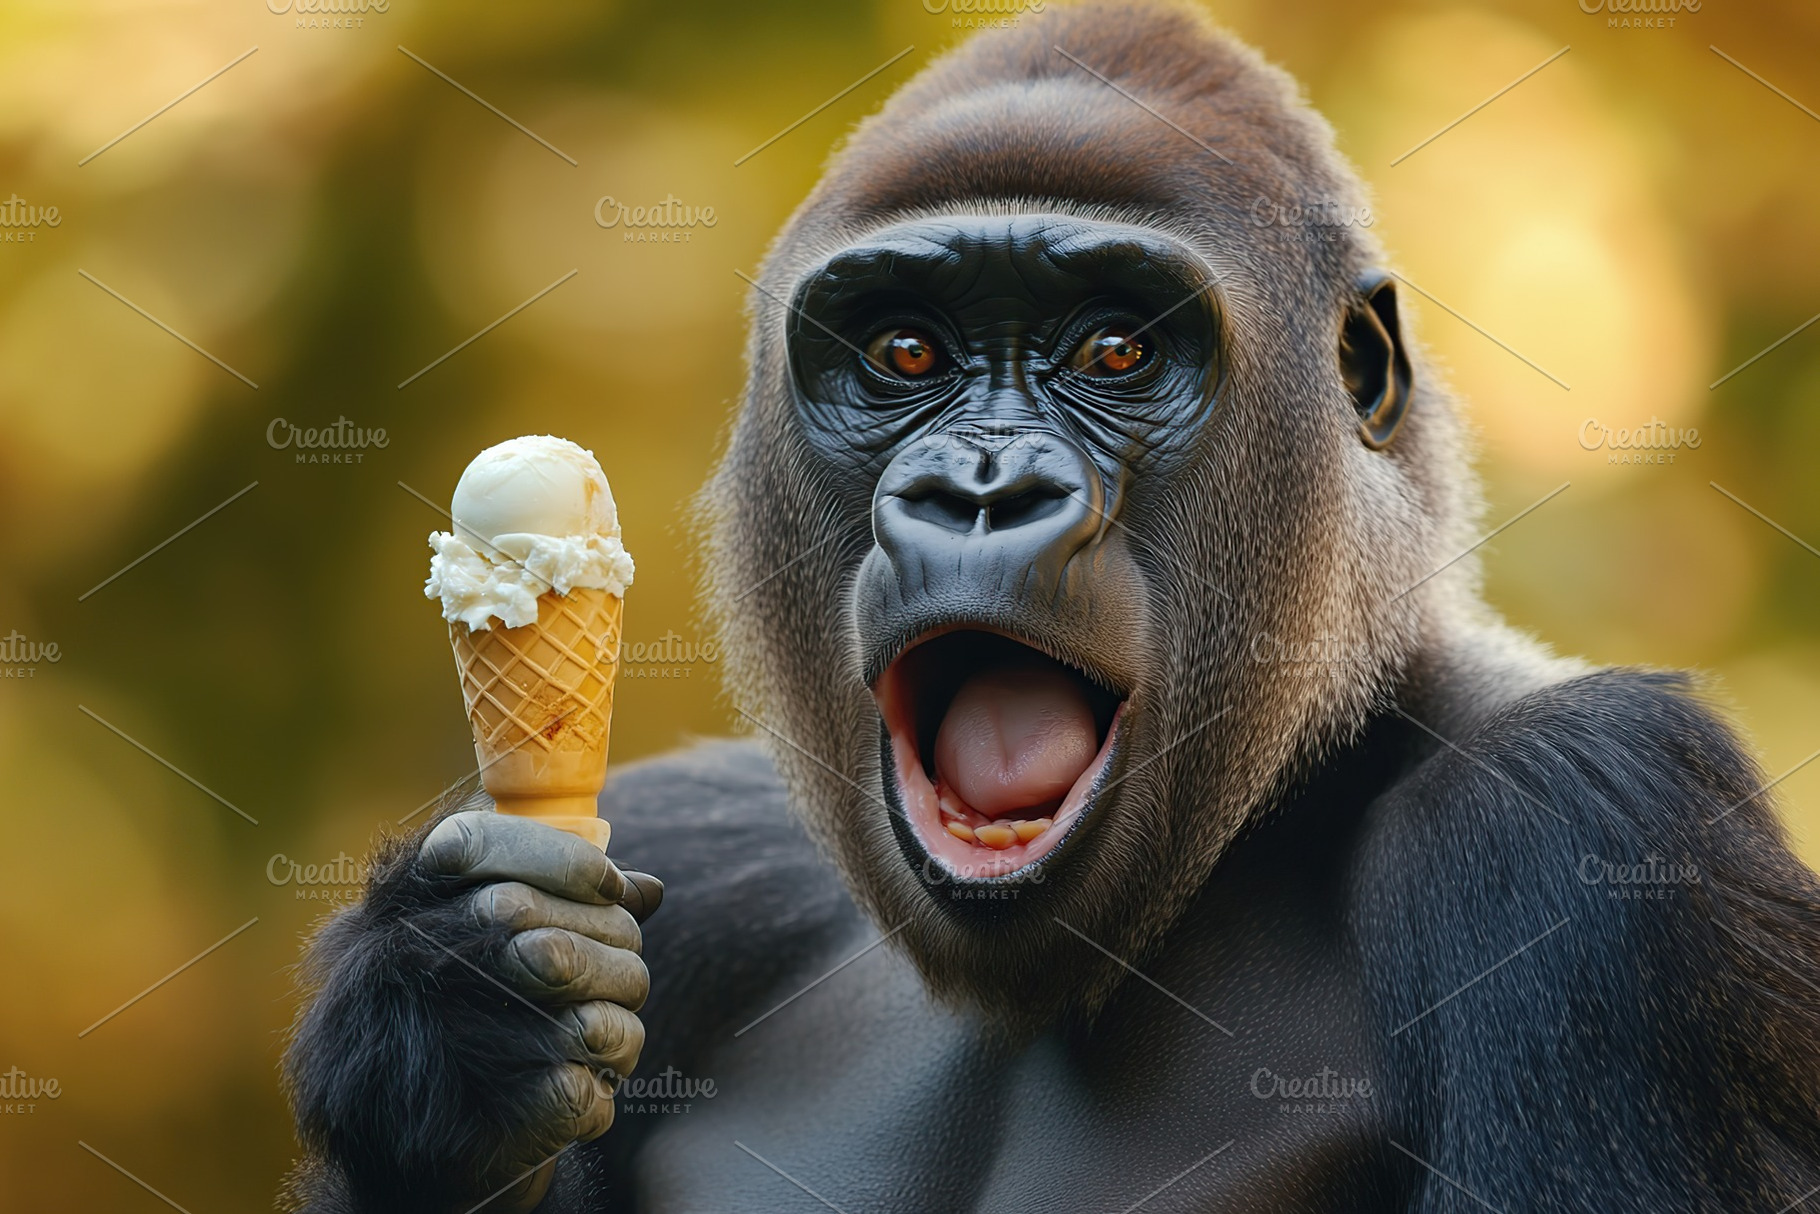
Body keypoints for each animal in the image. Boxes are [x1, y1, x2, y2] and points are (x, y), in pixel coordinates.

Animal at [281, 3, 1820, 1211]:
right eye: (907, 350)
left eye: (1117, 350)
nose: (981, 490)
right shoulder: (708, 856)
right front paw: (438, 1034)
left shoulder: (1596, 825)